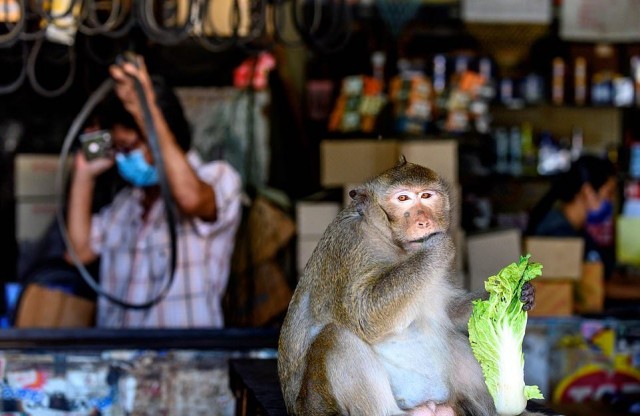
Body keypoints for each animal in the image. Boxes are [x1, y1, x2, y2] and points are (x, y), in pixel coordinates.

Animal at [278, 157, 544, 416]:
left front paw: (519, 294)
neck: (395, 244)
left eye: (426, 196)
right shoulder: (350, 246)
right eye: (403, 198)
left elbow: (449, 312)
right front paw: (438, 246)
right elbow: (365, 315)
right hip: (318, 403)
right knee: (335, 337)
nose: (424, 221)